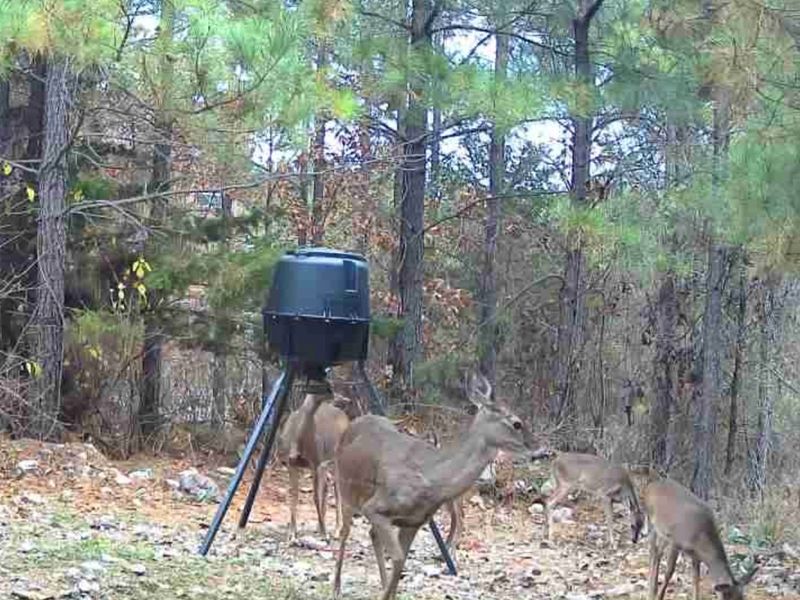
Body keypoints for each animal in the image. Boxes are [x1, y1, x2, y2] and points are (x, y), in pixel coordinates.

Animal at [275, 389, 349, 541]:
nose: (343, 398)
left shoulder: (316, 462)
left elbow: (315, 497)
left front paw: (324, 532)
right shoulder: (292, 464)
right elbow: (294, 496)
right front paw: (292, 533)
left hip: (336, 459)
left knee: (337, 489)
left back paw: (336, 530)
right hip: (326, 465)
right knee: (328, 485)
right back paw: (320, 526)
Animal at [332, 373, 536, 600]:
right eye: (517, 423)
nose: (539, 449)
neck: (431, 480)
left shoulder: (413, 522)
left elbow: (401, 562)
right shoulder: (375, 506)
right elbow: (398, 558)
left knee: (372, 535)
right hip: (345, 488)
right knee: (344, 532)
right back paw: (336, 586)